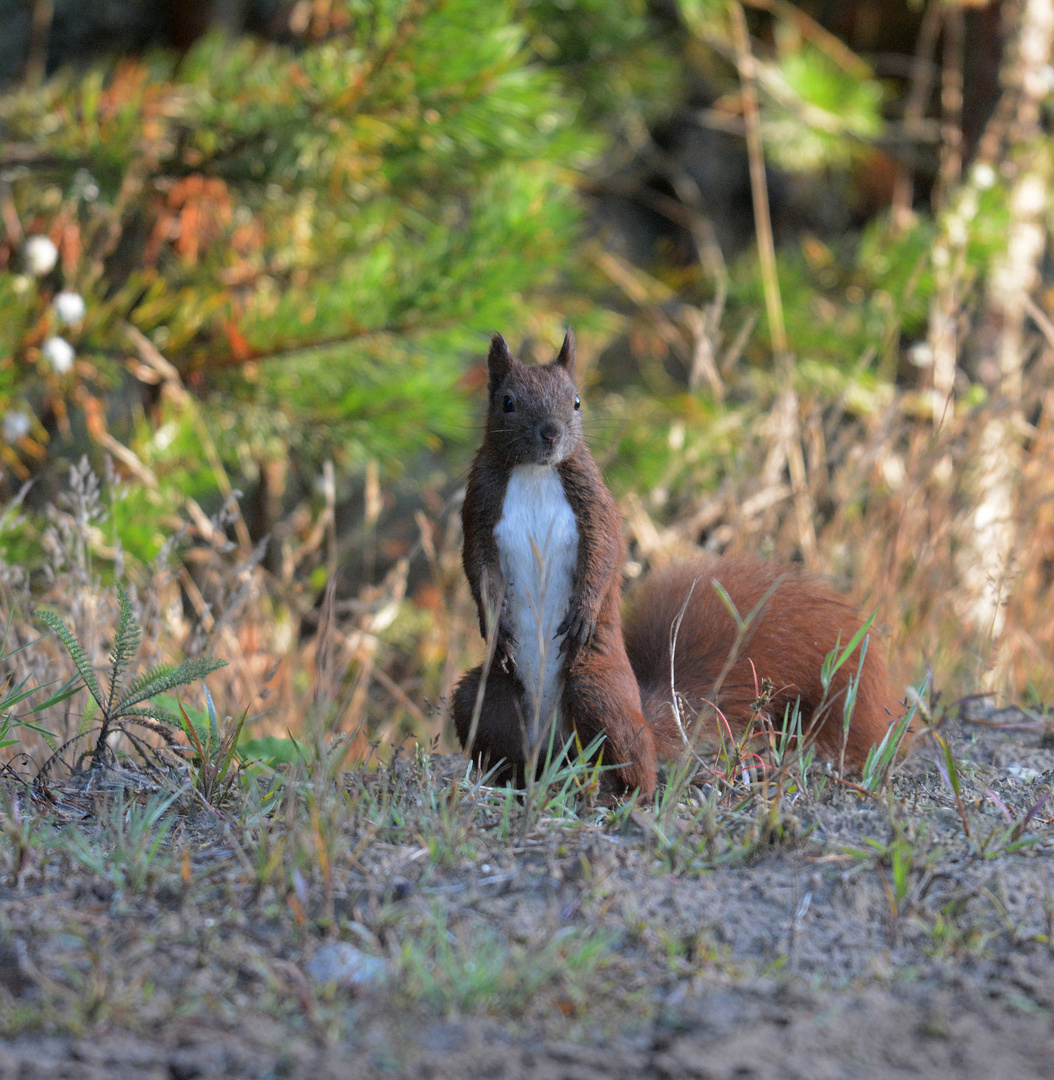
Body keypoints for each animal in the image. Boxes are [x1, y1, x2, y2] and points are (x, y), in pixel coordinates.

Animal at [449, 332, 902, 799]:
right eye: (507, 402)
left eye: (575, 401)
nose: (551, 434)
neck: (536, 474)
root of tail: (556, 746)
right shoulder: (479, 506)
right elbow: (478, 567)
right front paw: (495, 625)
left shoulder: (595, 503)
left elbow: (606, 553)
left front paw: (584, 613)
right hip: (480, 696)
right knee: (506, 746)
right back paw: (515, 785)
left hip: (597, 691)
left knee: (634, 758)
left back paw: (625, 795)